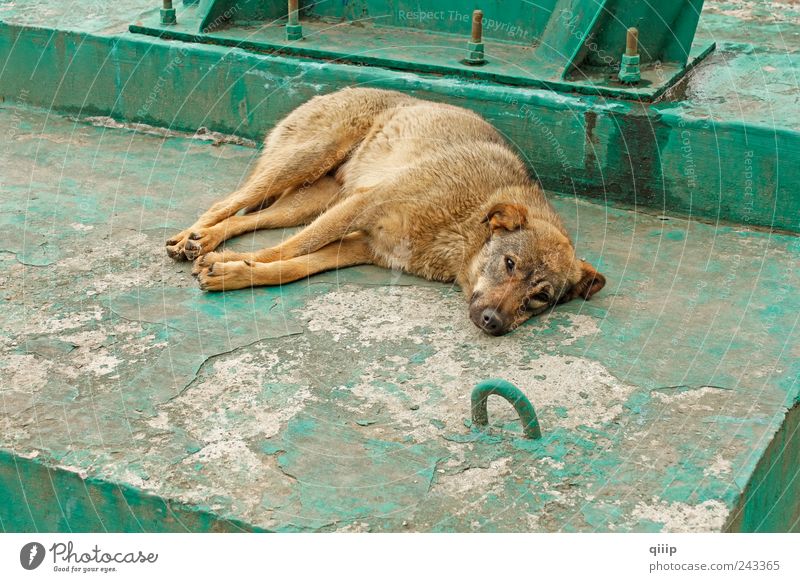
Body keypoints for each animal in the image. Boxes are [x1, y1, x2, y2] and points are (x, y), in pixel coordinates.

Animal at [169, 89, 608, 340]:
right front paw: (229, 264)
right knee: (225, 204)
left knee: (246, 219)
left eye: (541, 298)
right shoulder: (365, 204)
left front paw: (234, 272)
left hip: (310, 202)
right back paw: (189, 237)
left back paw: (203, 240)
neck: (464, 229)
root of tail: (344, 86)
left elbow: (291, 267)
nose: (492, 322)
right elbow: (286, 250)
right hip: (305, 162)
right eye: (510, 263)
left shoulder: (363, 247)